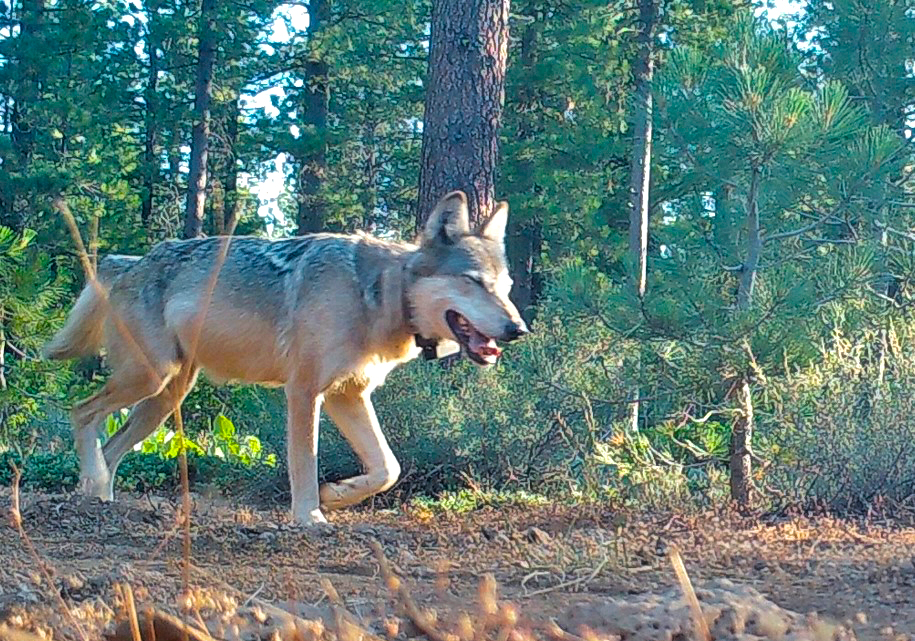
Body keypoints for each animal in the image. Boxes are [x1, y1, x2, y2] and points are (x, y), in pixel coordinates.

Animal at [42, 191, 528, 524]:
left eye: (505, 288)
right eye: (473, 282)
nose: (518, 330)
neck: (375, 294)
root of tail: (127, 261)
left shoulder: (349, 395)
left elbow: (387, 468)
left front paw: (337, 495)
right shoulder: (305, 391)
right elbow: (304, 462)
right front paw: (310, 517)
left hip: (164, 398)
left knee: (110, 445)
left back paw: (99, 497)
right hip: (149, 380)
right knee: (81, 413)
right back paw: (94, 487)